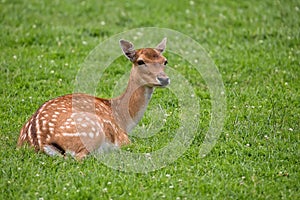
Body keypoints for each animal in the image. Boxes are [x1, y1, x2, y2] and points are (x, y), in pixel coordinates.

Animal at [17, 37, 170, 159]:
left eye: (165, 61)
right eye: (140, 61)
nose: (164, 79)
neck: (123, 120)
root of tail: (40, 142)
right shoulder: (123, 138)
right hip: (91, 131)